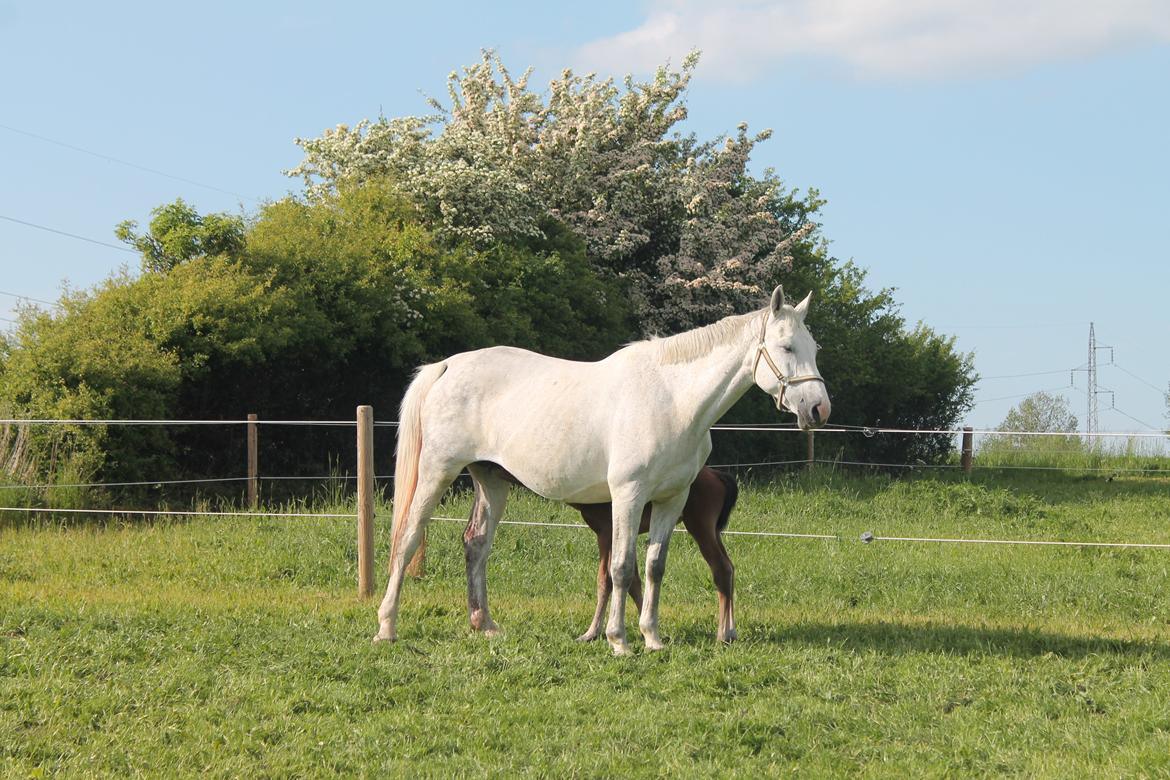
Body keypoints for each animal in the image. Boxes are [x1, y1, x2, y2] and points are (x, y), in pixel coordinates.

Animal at [570, 467, 734, 645]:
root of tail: (717, 475)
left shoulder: (606, 533)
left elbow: (605, 580)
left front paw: (592, 632)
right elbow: (634, 581)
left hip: (700, 527)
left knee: (722, 569)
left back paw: (723, 635)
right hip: (713, 531)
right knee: (730, 567)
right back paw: (731, 631)